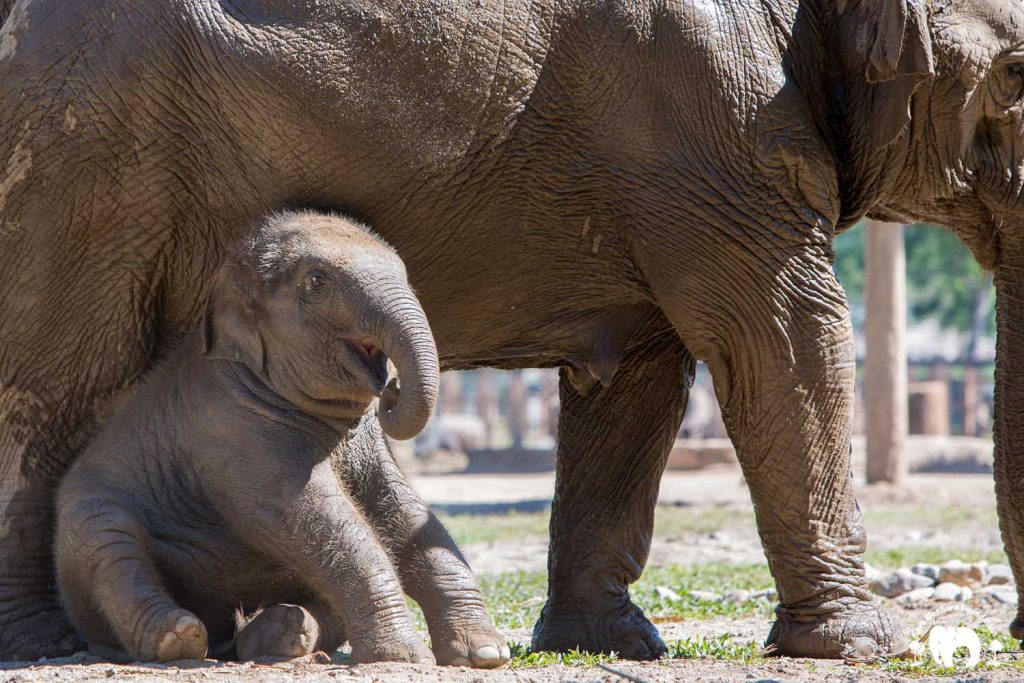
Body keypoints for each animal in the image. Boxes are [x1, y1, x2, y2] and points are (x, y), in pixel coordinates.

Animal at [55, 209, 507, 667]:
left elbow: (401, 510)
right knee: (110, 545)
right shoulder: (235, 432)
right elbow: (317, 519)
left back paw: (284, 633)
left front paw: (484, 654)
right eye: (316, 281)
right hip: (83, 524)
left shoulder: (366, 445)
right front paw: (404, 658)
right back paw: (177, 637)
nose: (392, 390)